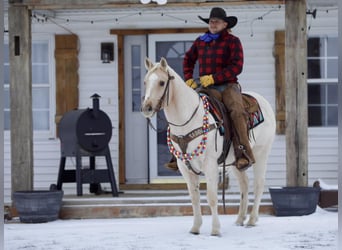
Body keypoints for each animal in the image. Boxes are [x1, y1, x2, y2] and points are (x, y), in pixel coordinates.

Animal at [140, 57, 276, 236]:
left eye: (162, 83)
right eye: (145, 81)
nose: (146, 108)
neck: (188, 120)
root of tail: (264, 102)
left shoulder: (210, 164)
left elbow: (211, 197)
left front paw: (215, 230)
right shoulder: (184, 167)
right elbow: (194, 197)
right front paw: (195, 228)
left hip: (261, 153)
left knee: (258, 184)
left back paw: (252, 220)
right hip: (235, 162)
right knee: (244, 184)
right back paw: (240, 219)